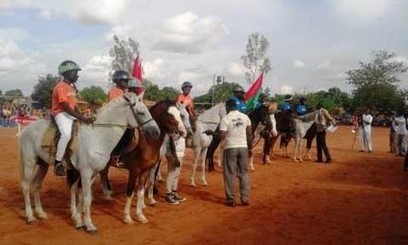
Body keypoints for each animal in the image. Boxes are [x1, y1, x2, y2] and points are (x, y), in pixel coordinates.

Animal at [19, 93, 159, 233]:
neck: (98, 136)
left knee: (37, 185)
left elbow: (82, 197)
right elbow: (87, 199)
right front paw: (89, 225)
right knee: (25, 186)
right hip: (29, 163)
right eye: (141, 113)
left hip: (43, 164)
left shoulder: (93, 173)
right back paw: (30, 216)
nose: (156, 132)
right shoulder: (86, 172)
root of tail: (26, 129)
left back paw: (41, 213)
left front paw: (79, 221)